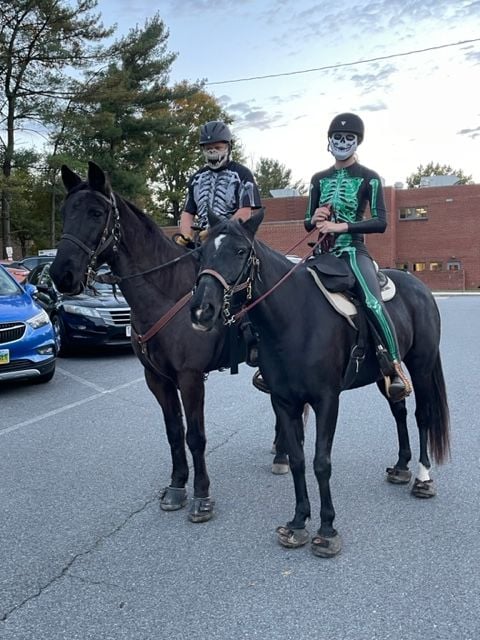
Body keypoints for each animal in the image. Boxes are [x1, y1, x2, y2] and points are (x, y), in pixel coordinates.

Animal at [50, 162, 278, 524]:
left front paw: (202, 497)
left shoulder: (190, 377)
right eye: (65, 211)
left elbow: (195, 436)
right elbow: (173, 432)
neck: (165, 293)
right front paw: (176, 486)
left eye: (96, 212)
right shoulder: (157, 378)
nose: (62, 275)